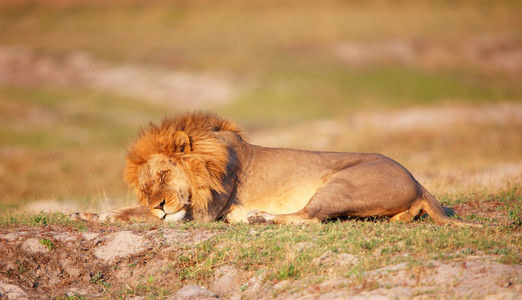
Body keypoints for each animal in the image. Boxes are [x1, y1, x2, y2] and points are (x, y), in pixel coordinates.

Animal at [70, 112, 480, 227]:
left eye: (164, 176)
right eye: (145, 186)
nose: (159, 204)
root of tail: (418, 181)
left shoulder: (203, 213)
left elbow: (137, 215)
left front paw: (104, 216)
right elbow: (129, 209)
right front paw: (86, 213)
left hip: (341, 183)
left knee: (309, 218)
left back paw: (255, 217)